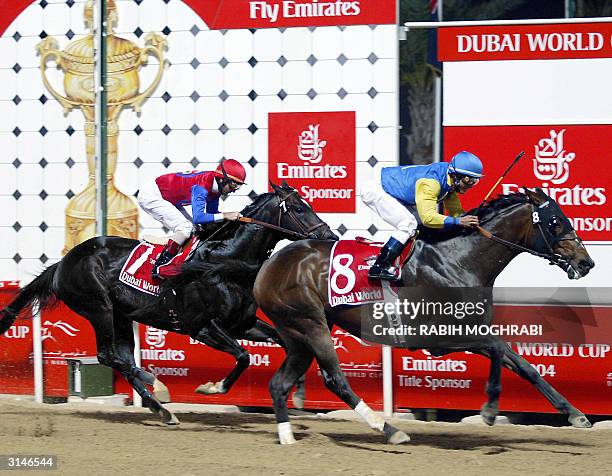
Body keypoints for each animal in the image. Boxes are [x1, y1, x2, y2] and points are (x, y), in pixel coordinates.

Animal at [0, 182, 334, 424]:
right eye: (298, 207)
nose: (328, 235)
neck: (225, 261)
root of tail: (63, 263)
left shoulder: (243, 323)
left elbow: (285, 343)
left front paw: (300, 394)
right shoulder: (202, 327)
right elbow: (243, 356)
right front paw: (213, 387)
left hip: (121, 315)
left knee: (123, 358)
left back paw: (160, 404)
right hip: (98, 309)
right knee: (109, 356)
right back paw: (158, 390)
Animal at [253, 188, 592, 444]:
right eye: (555, 222)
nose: (586, 262)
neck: (459, 261)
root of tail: (269, 264)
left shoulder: (471, 331)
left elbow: (525, 366)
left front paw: (576, 414)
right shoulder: (437, 338)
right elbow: (497, 350)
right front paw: (489, 410)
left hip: (297, 335)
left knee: (279, 384)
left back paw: (287, 437)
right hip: (310, 324)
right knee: (336, 379)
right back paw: (390, 430)